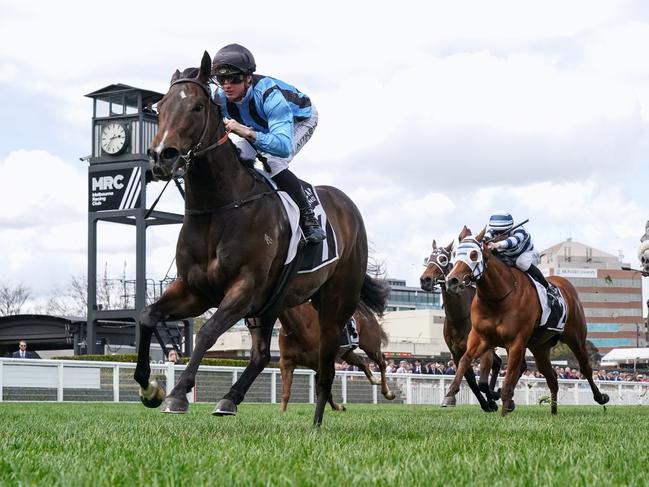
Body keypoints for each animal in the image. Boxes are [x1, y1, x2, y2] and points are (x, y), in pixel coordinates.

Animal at [133, 50, 384, 428]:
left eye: (196, 107)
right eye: (159, 107)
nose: (163, 156)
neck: (219, 208)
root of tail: (348, 206)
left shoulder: (245, 288)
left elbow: (207, 332)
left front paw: (177, 394)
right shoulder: (194, 290)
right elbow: (149, 316)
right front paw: (150, 388)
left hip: (335, 303)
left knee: (326, 366)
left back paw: (316, 424)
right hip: (273, 304)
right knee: (263, 354)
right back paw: (230, 399)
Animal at [420, 227, 502, 414]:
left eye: (443, 258)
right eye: (429, 258)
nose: (425, 280)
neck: (459, 317)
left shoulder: (484, 349)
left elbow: (482, 381)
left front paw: (493, 399)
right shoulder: (456, 352)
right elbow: (472, 382)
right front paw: (486, 404)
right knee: (499, 363)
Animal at [442, 228, 604, 416]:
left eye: (474, 254)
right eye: (454, 254)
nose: (452, 281)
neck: (498, 298)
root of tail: (565, 283)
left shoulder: (516, 343)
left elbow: (508, 381)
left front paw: (503, 412)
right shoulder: (480, 338)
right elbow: (465, 361)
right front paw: (450, 393)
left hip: (575, 338)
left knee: (585, 368)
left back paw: (601, 397)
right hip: (540, 348)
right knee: (552, 377)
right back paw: (553, 411)